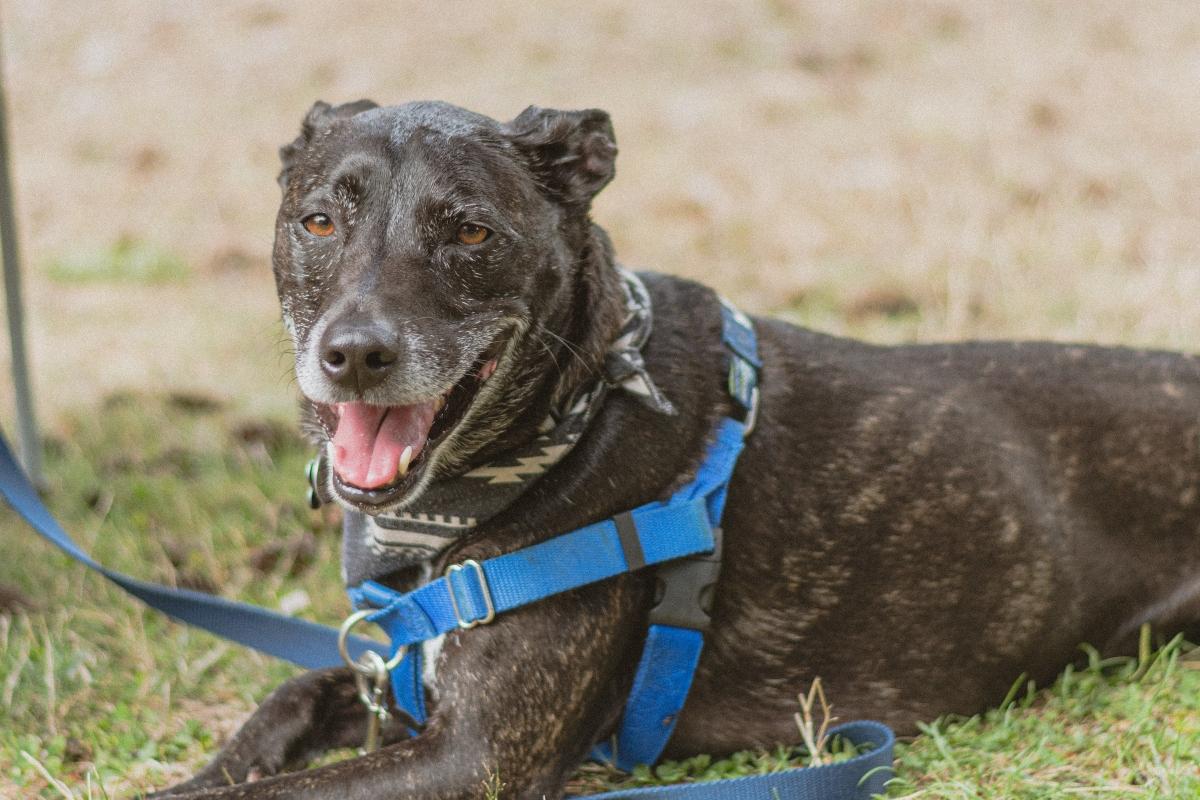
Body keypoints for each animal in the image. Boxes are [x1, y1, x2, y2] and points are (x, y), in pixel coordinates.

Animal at [154, 101, 1200, 800]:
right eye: (318, 219)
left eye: (472, 232)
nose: (356, 354)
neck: (576, 414)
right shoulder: (399, 686)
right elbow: (282, 705)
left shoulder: (476, 756)